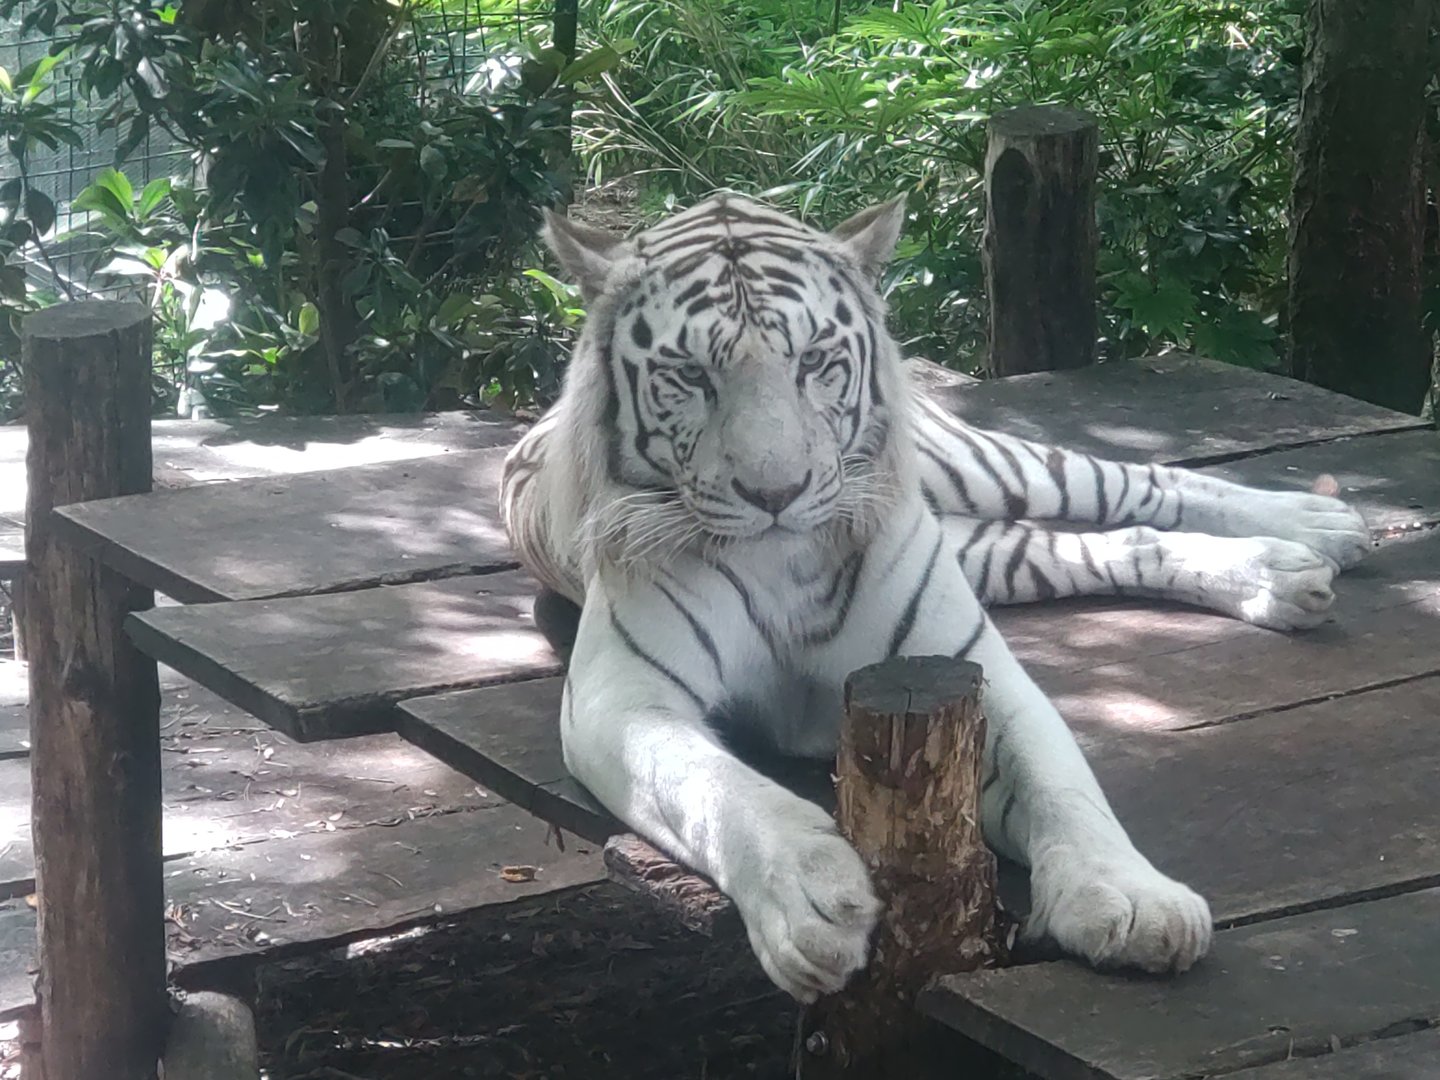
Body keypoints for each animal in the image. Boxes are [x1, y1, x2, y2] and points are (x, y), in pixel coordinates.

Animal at [498, 193, 1370, 1002]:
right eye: (690, 377)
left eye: (814, 360)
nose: (777, 493)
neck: (785, 563)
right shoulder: (621, 700)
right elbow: (722, 791)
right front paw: (813, 899)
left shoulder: (970, 668)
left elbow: (1063, 787)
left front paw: (1129, 897)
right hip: (989, 548)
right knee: (1103, 542)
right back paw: (1280, 575)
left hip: (986, 466)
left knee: (1129, 481)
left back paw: (1311, 524)